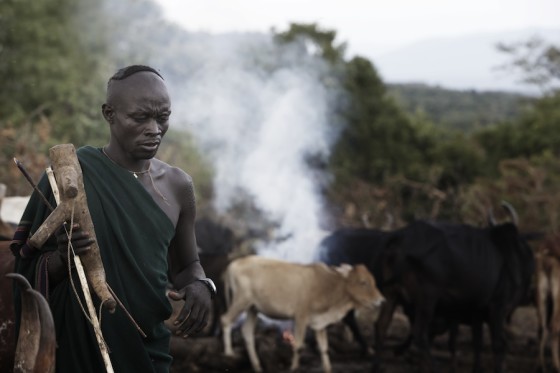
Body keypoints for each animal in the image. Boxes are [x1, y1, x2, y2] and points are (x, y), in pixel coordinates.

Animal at [219, 254, 384, 370]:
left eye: (373, 280)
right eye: (363, 282)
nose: (381, 300)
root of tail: (233, 264)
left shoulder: (319, 324)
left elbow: (324, 349)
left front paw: (328, 368)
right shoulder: (300, 317)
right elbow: (298, 346)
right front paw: (294, 367)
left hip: (253, 308)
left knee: (247, 332)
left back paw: (257, 366)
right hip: (241, 301)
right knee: (225, 320)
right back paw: (229, 353)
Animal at [382, 211, 536, 370]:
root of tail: (402, 238)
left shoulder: (476, 313)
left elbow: (477, 343)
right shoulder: (497, 309)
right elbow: (498, 345)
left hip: (392, 295)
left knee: (383, 327)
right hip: (427, 300)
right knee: (419, 334)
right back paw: (433, 365)